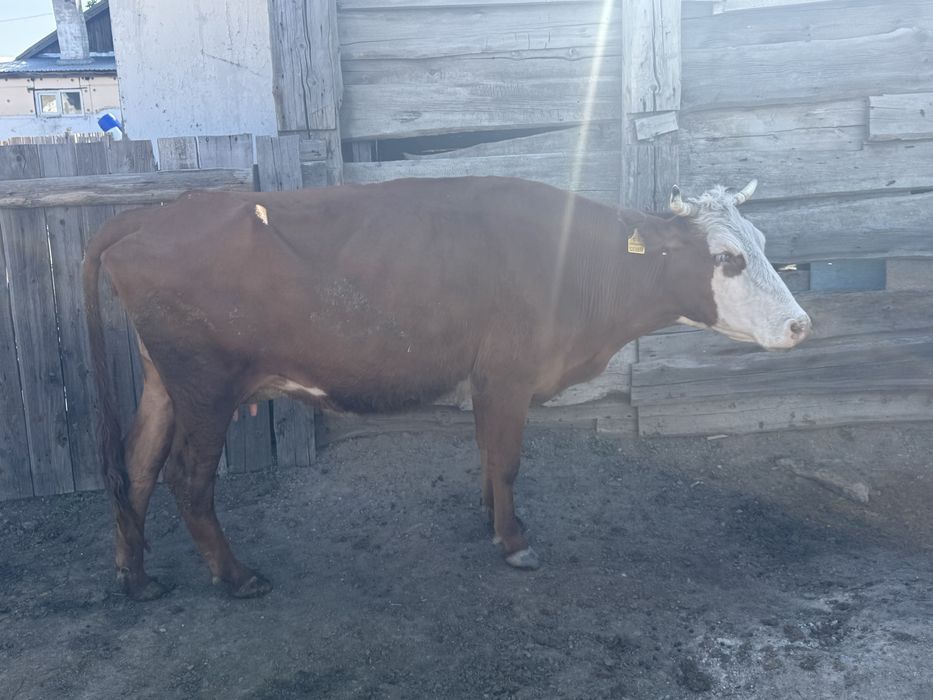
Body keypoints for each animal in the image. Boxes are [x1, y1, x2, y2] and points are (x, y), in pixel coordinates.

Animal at [82, 176, 810, 601]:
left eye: (762, 241)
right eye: (727, 259)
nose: (800, 323)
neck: (573, 261)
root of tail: (158, 213)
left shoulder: (488, 380)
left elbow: (488, 457)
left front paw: (491, 521)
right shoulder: (508, 373)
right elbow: (508, 459)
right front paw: (513, 543)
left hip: (164, 382)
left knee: (136, 466)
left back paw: (135, 576)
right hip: (205, 386)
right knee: (185, 478)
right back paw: (234, 577)